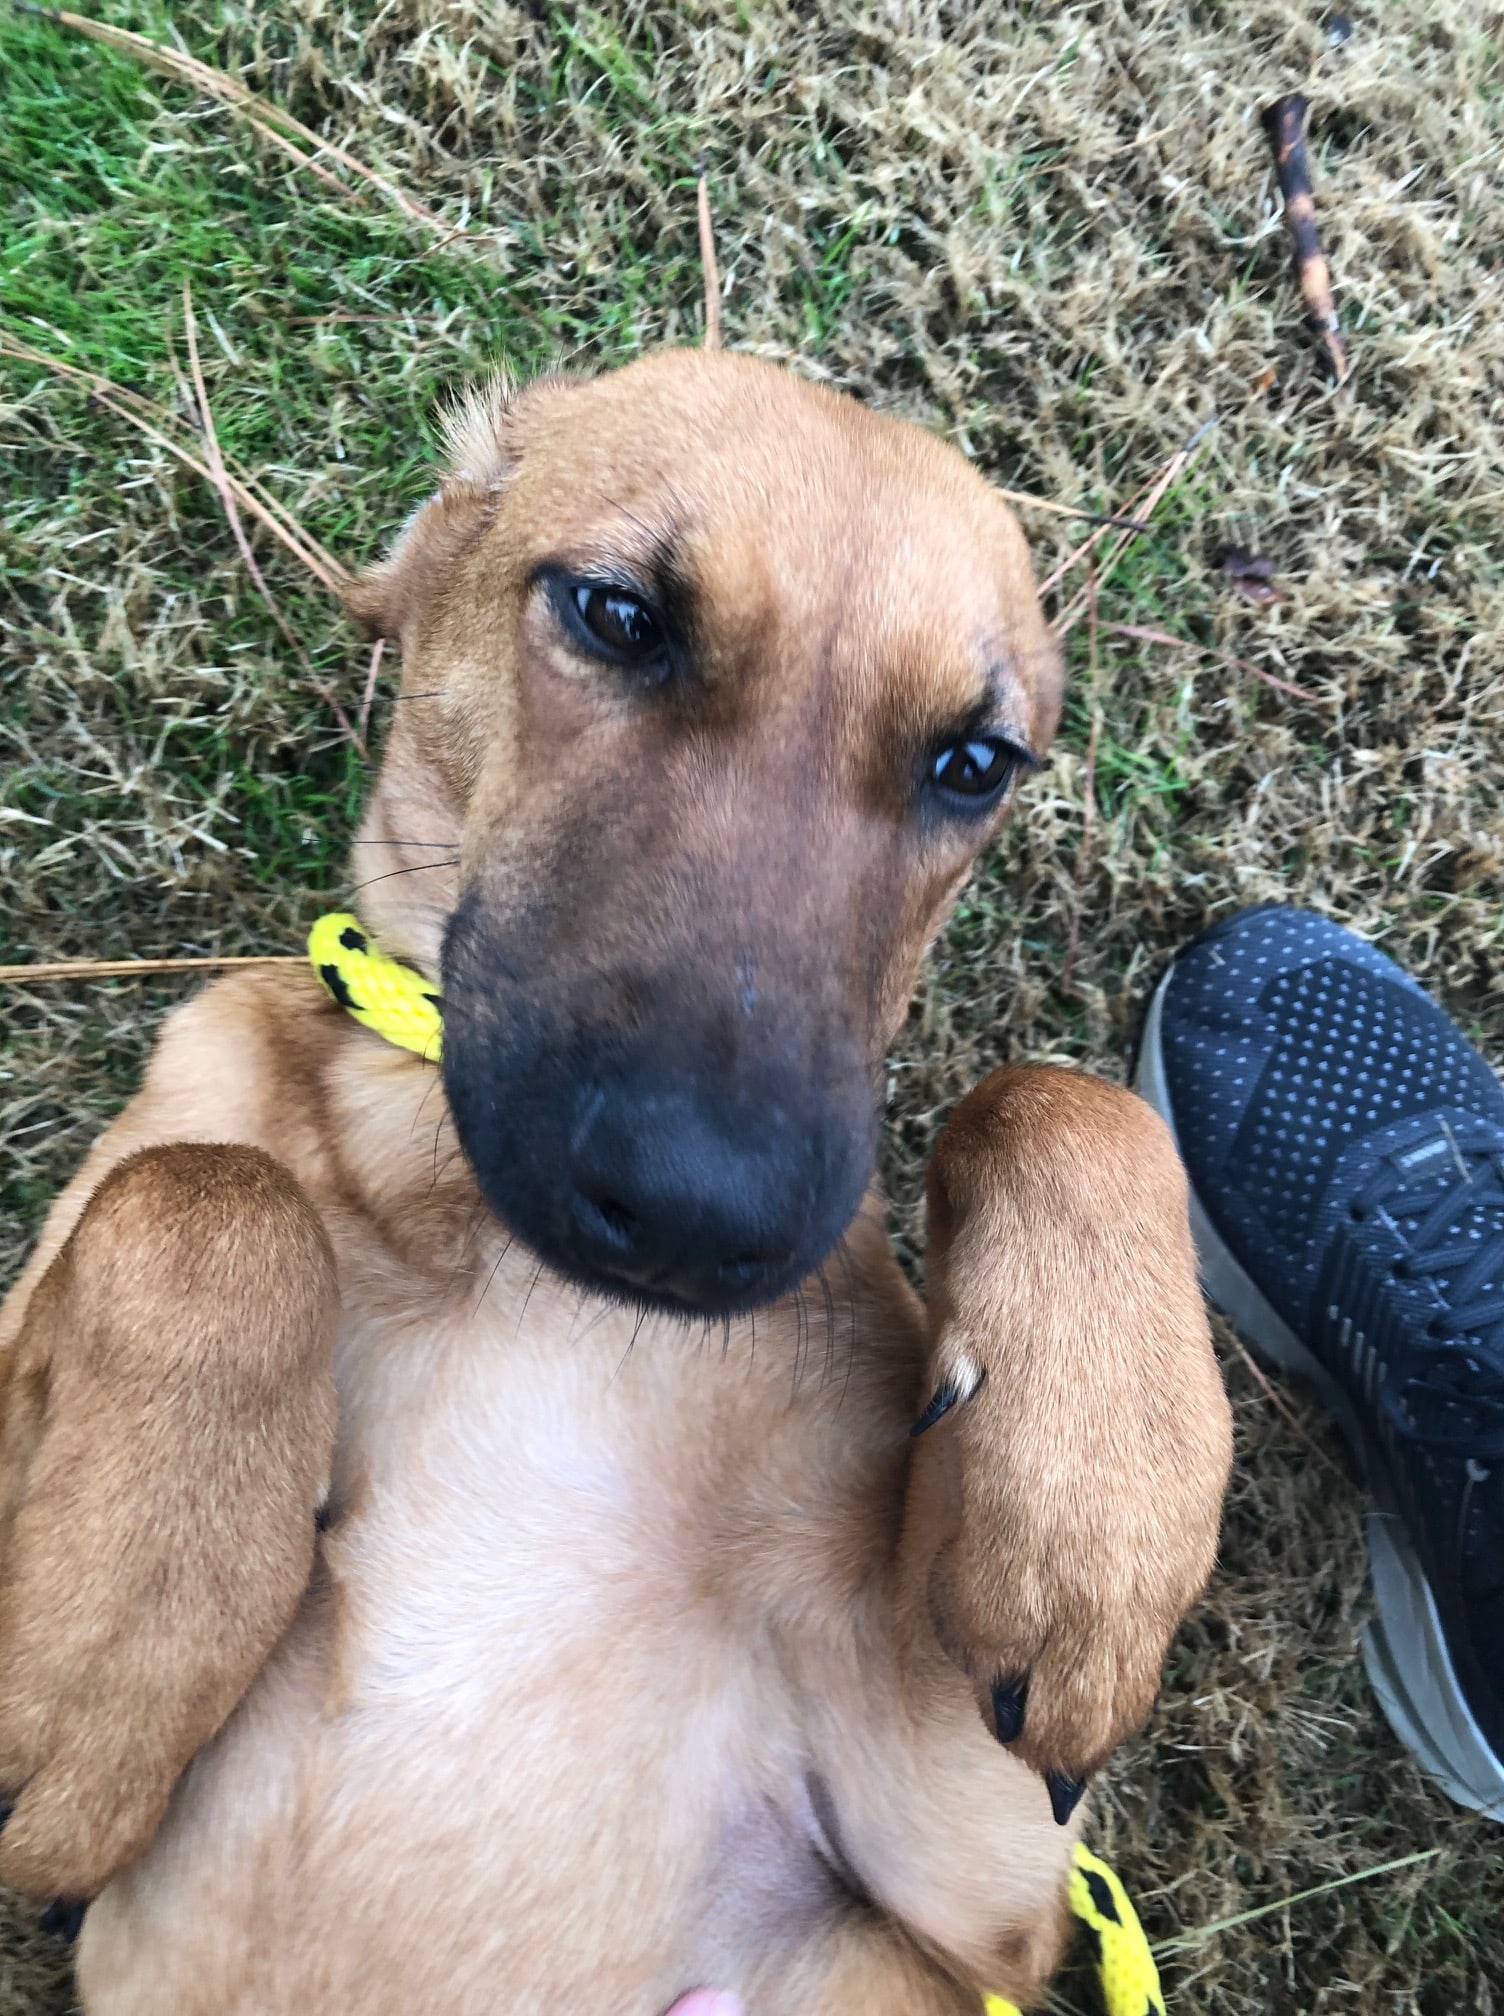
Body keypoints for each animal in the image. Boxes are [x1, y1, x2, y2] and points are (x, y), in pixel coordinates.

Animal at [0, 354, 1233, 2007]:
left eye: (974, 764)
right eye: (618, 615)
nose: (698, 1218)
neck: (499, 1261)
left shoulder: (969, 1867)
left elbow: (1060, 1097)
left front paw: (1091, 1538)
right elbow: (203, 1196)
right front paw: (104, 1662)